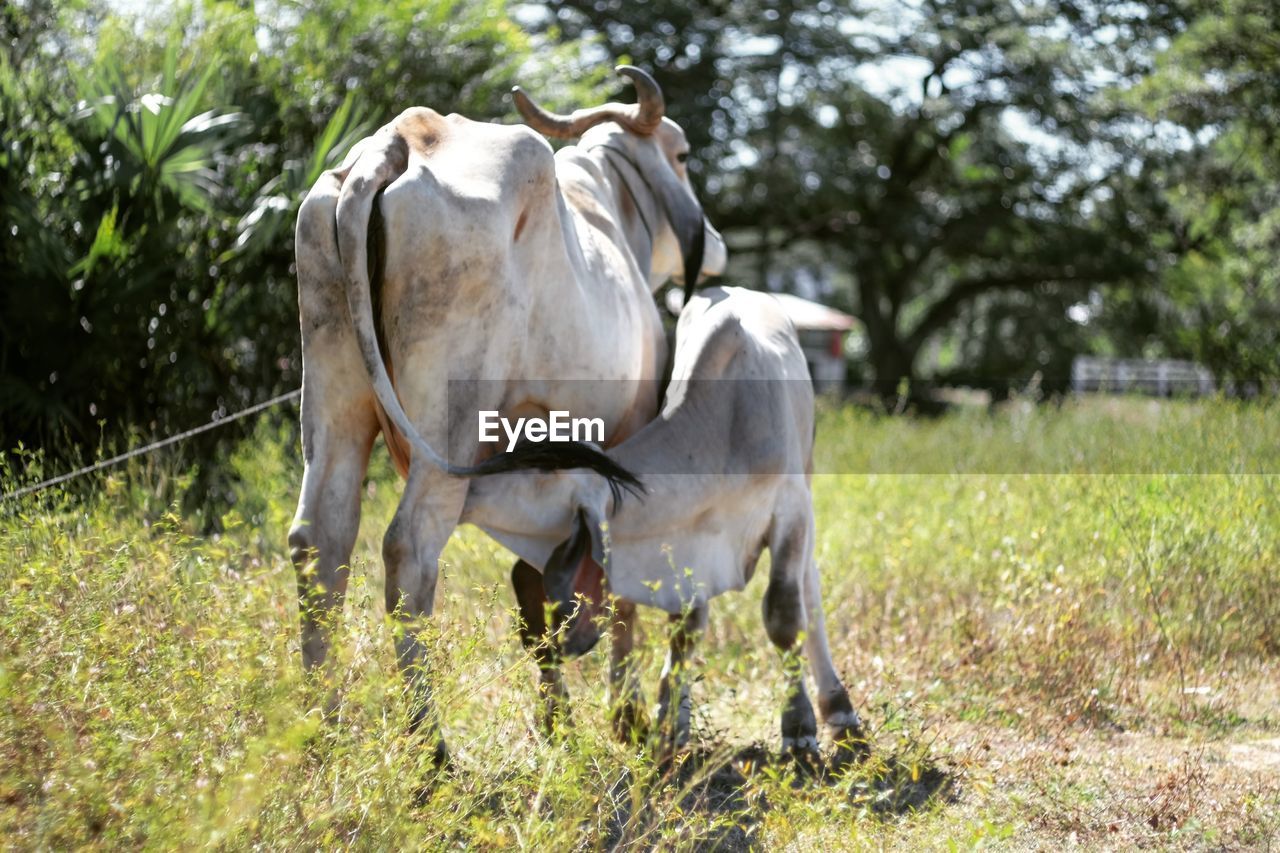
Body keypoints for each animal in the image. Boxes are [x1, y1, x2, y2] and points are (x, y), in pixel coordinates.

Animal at [293, 63, 727, 758]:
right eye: (683, 156)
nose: (712, 243)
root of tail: (401, 141)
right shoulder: (626, 437)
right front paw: (624, 715)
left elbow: (535, 583)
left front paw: (558, 720)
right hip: (449, 428)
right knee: (408, 551)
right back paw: (431, 749)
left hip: (335, 402)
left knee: (320, 542)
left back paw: (323, 731)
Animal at [463, 285, 870, 758]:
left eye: (540, 476)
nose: (469, 486)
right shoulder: (688, 547)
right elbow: (685, 626)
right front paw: (671, 721)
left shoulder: (791, 511)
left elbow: (785, 615)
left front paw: (799, 730)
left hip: (805, 478)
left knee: (810, 591)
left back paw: (840, 713)